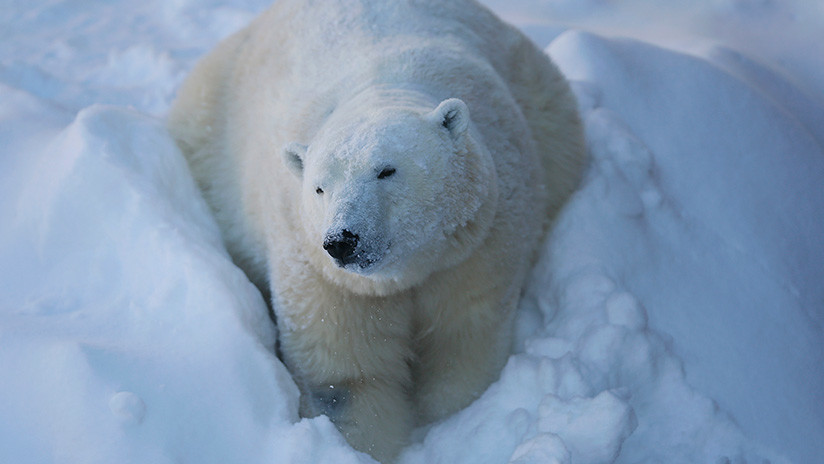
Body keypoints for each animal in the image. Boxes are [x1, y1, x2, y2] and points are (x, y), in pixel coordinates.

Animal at [169, 0, 584, 460]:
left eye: (386, 170)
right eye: (319, 187)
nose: (342, 241)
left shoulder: (476, 244)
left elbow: (463, 337)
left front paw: (447, 419)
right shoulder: (324, 275)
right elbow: (347, 375)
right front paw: (367, 446)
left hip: (543, 100)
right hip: (208, 130)